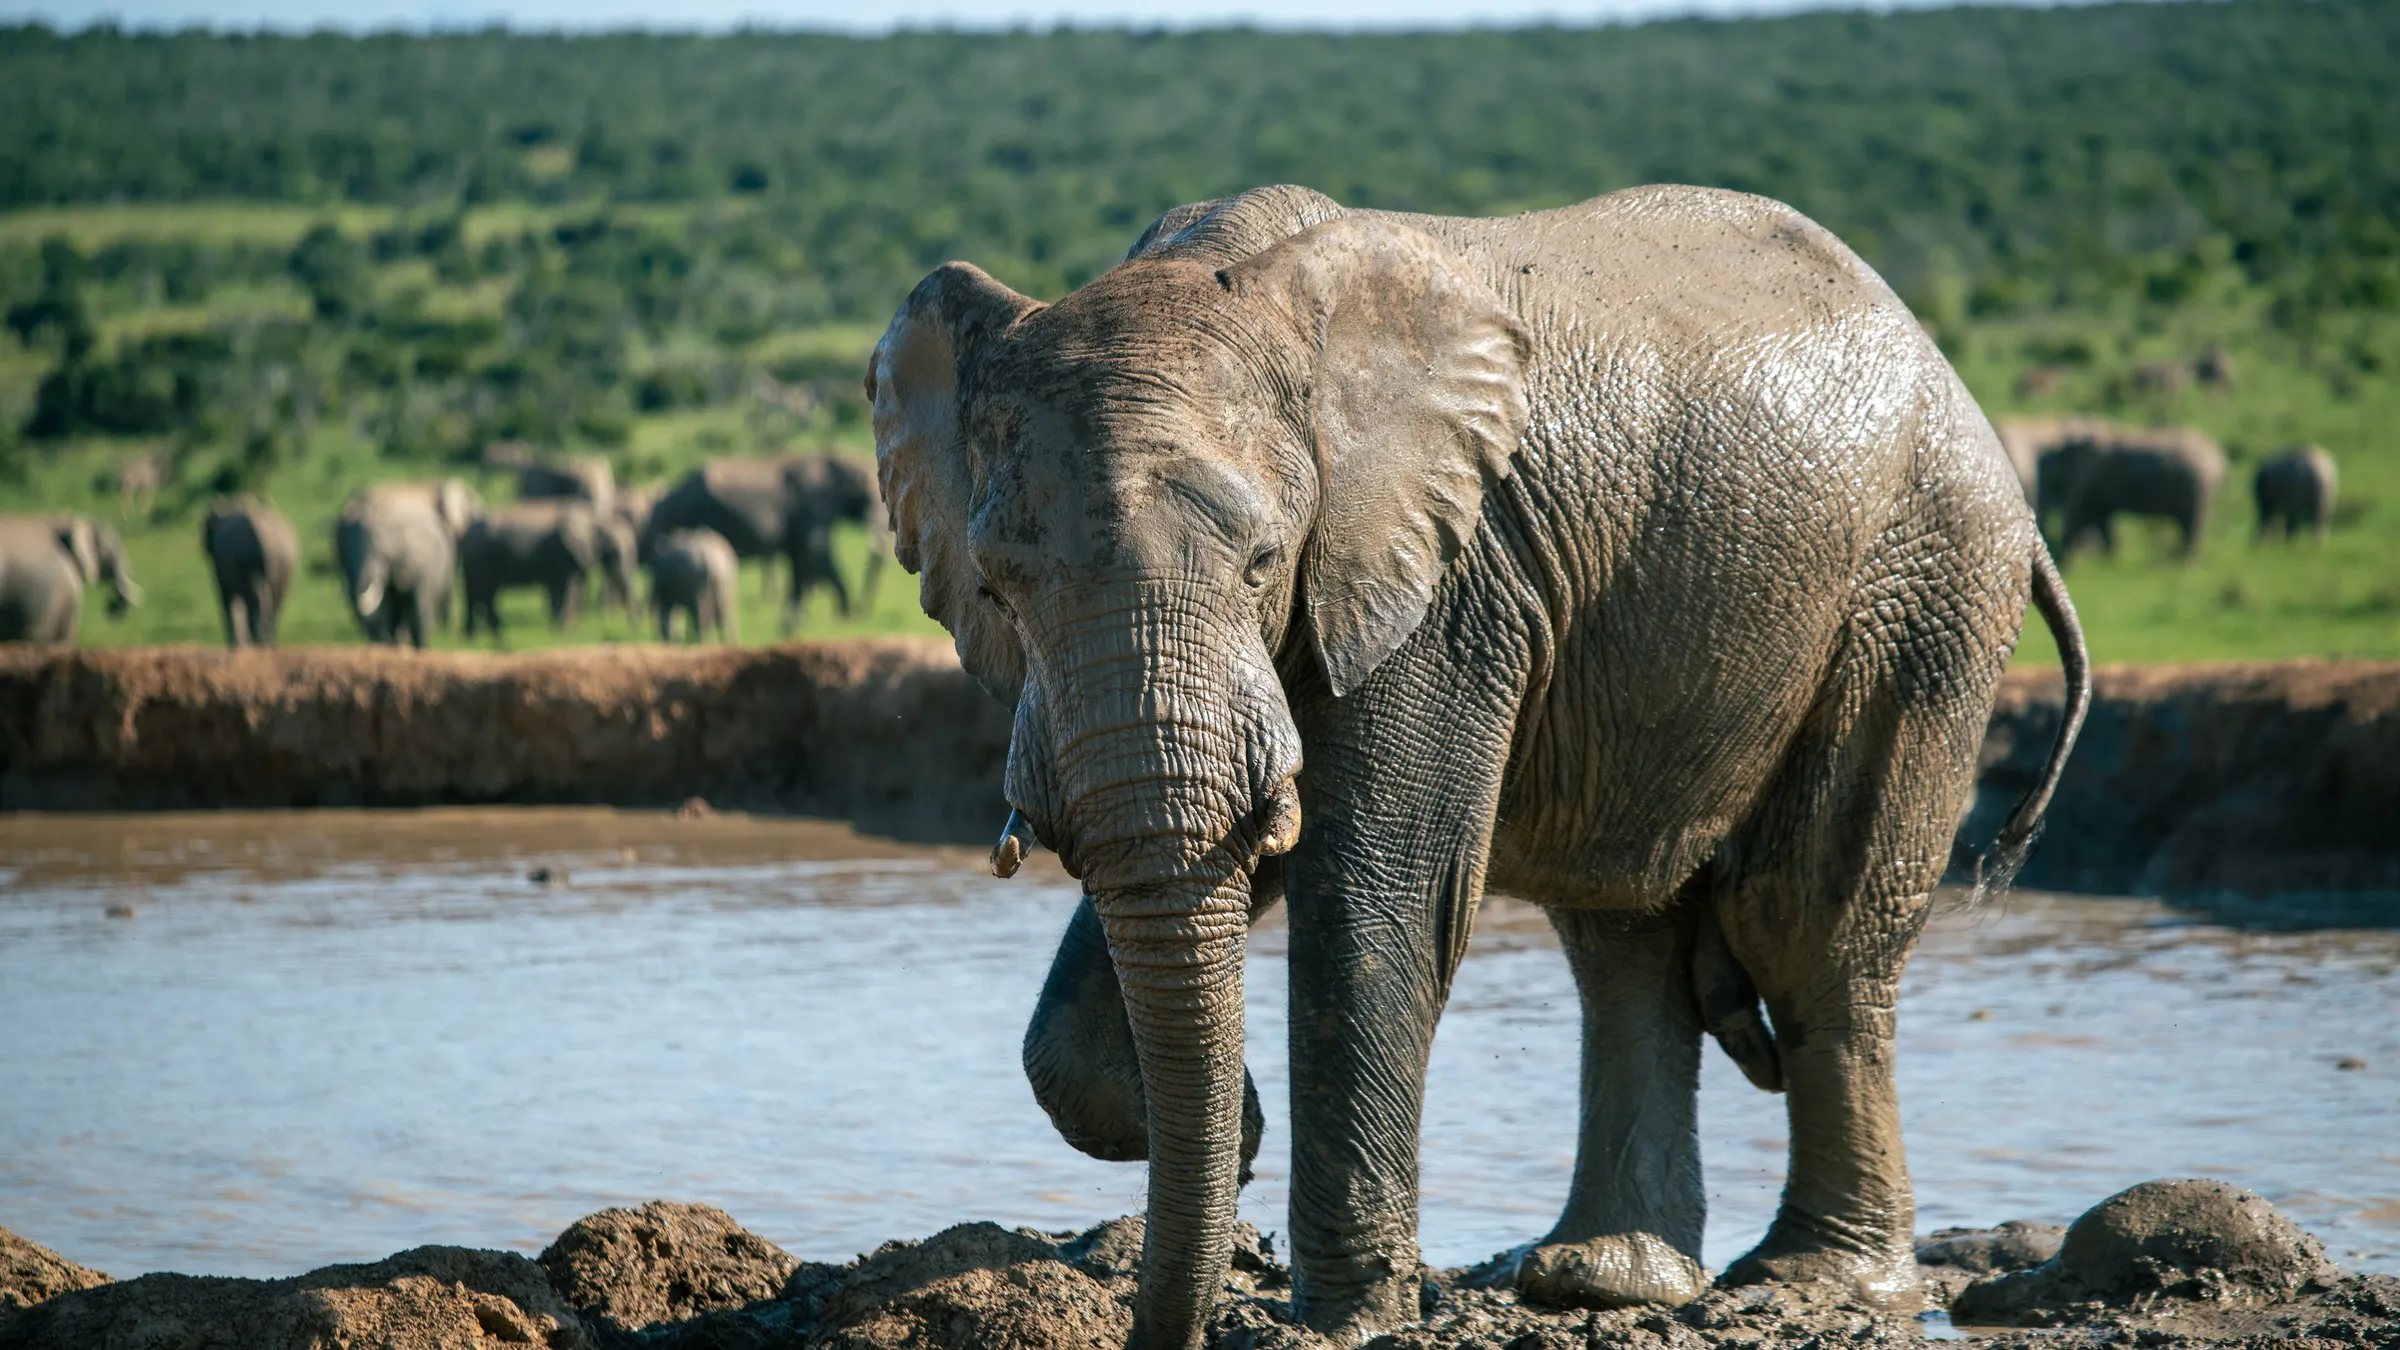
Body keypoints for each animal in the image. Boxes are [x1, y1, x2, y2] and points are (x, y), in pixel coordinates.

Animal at [201, 497, 298, 648]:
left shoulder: (222, 569)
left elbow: (225, 597)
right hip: (284, 561)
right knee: (276, 603)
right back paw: (269, 642)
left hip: (249, 560)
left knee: (255, 601)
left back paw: (259, 642)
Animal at [458, 500, 636, 641]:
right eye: (612, 547)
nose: (634, 627)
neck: (592, 515)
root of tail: (465, 533)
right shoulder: (561, 552)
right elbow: (565, 587)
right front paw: (561, 630)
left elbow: (572, 586)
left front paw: (564, 629)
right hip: (481, 558)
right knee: (487, 595)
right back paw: (500, 637)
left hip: (473, 560)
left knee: (472, 594)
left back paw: (471, 637)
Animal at [640, 453, 887, 634]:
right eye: (868, 498)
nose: (862, 611)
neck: (839, 459)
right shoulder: (812, 506)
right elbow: (813, 554)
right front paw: (797, 624)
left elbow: (812, 557)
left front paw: (837, 616)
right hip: (688, 515)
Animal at [871, 184, 2094, 1350]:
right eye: (996, 587)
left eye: (1264, 561)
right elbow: (1186, 893)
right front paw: (1240, 1132)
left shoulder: (1447, 584)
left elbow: (1374, 895)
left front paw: (1343, 1317)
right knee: (1623, 936)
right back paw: (1606, 1279)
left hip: (1919, 596)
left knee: (1805, 929)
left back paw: (1813, 1282)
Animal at [2036, 424, 2227, 559]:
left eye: (2051, 479)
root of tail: (2217, 457)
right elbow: (2100, 521)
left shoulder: (2093, 481)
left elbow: (2092, 519)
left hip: (2197, 488)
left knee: (2191, 524)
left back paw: (2184, 559)